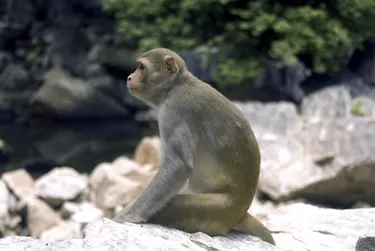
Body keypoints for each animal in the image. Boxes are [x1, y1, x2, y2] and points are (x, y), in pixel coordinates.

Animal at [112, 47, 276, 245]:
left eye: (141, 67)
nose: (129, 77)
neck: (175, 86)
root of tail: (240, 214)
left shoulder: (174, 112)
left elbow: (178, 165)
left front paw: (128, 215)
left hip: (215, 210)